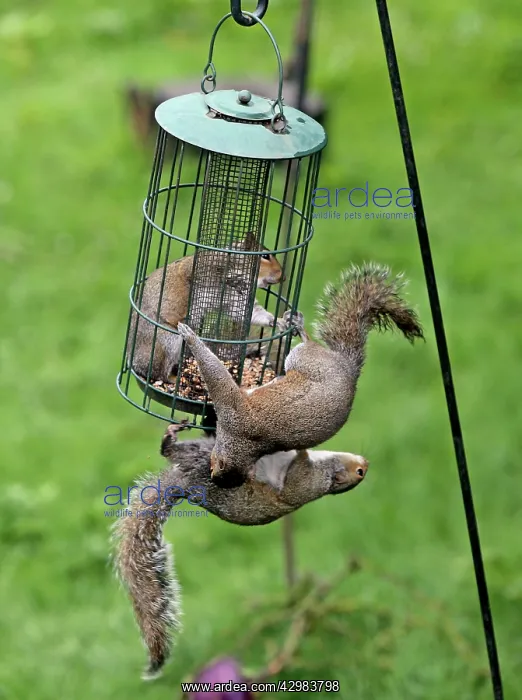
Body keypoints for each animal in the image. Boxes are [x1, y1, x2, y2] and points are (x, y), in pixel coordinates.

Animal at [112, 421, 368, 680]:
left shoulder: (304, 481)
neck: (324, 471)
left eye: (359, 473)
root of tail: (185, 486)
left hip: (203, 462)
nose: (365, 463)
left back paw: (169, 439)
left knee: (172, 453)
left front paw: (301, 448)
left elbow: (299, 468)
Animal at [128, 231, 286, 383]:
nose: (283, 278)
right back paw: (173, 380)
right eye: (265, 256)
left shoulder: (234, 301)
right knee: (159, 373)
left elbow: (251, 314)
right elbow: (200, 273)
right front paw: (233, 279)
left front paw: (279, 321)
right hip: (166, 339)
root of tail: (135, 361)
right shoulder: (198, 266)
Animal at [176, 263, 424, 488]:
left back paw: (298, 326)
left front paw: (191, 337)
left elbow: (217, 377)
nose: (211, 475)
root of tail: (349, 369)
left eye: (214, 465)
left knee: (307, 343)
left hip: (304, 358)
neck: (245, 444)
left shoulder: (232, 412)